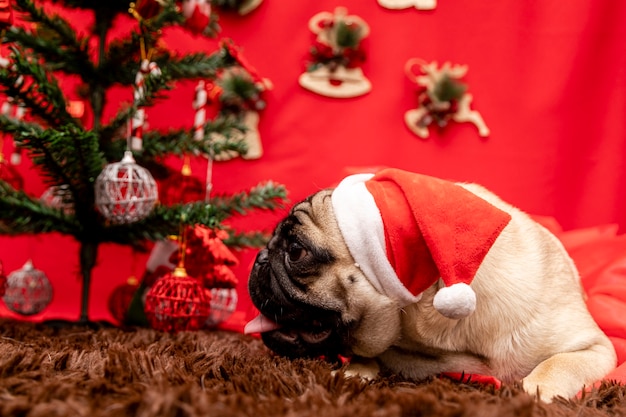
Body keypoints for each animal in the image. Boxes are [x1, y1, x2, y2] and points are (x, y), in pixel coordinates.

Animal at [244, 168, 616, 400]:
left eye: (296, 251)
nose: (260, 257)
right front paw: (353, 372)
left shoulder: (598, 347)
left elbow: (558, 363)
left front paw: (536, 392)